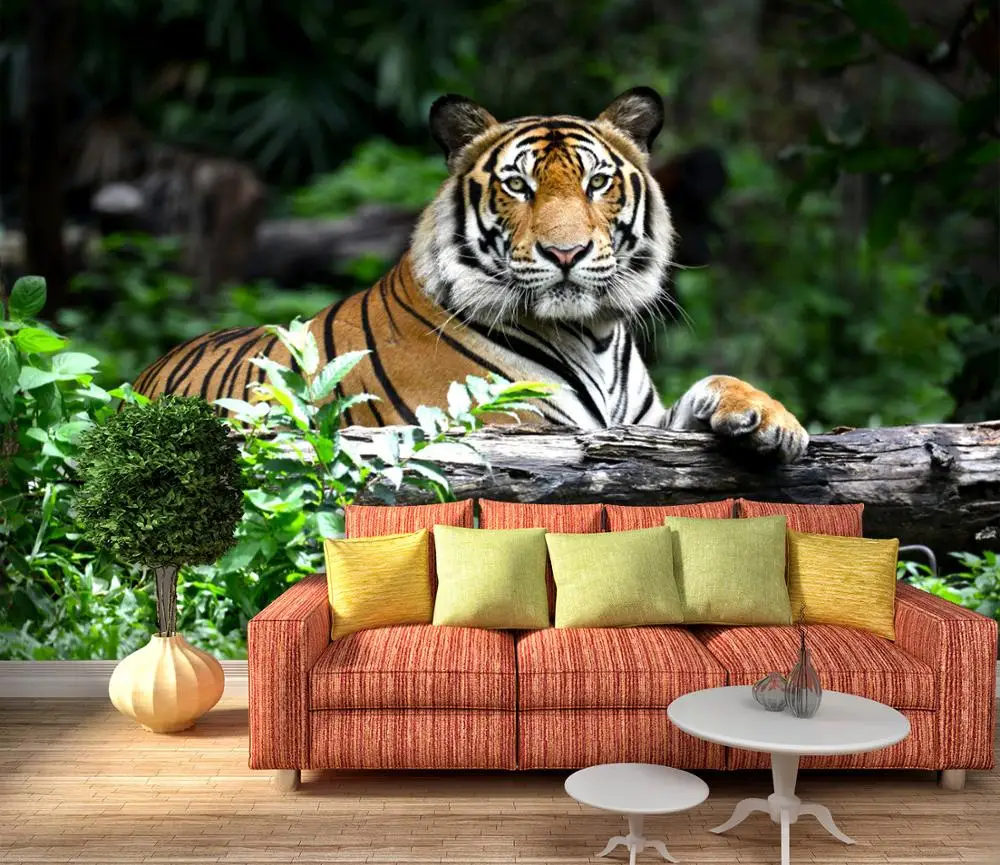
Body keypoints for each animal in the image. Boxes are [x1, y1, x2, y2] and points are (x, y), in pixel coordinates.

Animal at [134, 87, 808, 461]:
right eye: (518, 185)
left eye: (597, 182)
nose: (566, 253)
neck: (593, 335)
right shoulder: (513, 429)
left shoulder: (640, 428)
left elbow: (714, 384)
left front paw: (772, 421)